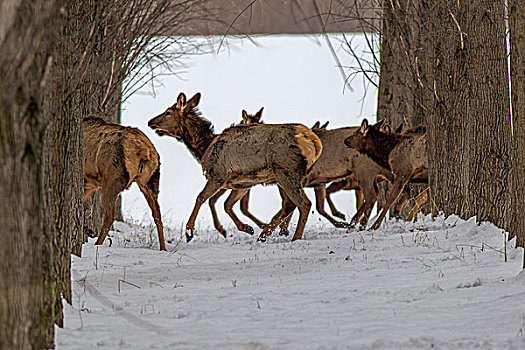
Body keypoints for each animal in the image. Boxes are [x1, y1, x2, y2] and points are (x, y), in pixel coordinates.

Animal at [83, 116, 166, 250]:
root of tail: (145, 152)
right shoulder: (91, 183)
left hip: (113, 179)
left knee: (109, 217)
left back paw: (97, 243)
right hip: (151, 181)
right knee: (157, 215)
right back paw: (163, 248)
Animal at [145, 91, 322, 242]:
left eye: (168, 111)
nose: (150, 122)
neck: (203, 148)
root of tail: (314, 143)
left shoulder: (218, 175)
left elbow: (201, 197)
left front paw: (189, 231)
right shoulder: (242, 183)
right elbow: (227, 205)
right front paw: (247, 228)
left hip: (286, 172)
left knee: (303, 204)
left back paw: (294, 237)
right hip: (287, 176)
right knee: (291, 204)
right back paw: (264, 234)